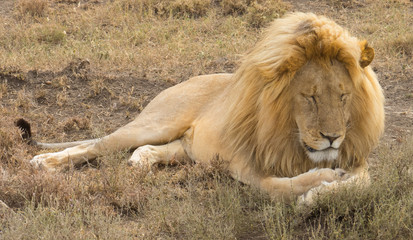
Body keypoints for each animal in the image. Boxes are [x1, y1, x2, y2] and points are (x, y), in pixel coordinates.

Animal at [25, 12, 384, 201]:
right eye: (310, 97)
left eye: (343, 96)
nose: (332, 138)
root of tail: (185, 80)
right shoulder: (244, 164)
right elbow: (279, 185)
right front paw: (317, 185)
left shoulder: (358, 161)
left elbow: (361, 183)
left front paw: (322, 192)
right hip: (156, 123)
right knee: (94, 144)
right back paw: (44, 162)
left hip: (187, 146)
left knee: (149, 149)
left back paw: (140, 163)